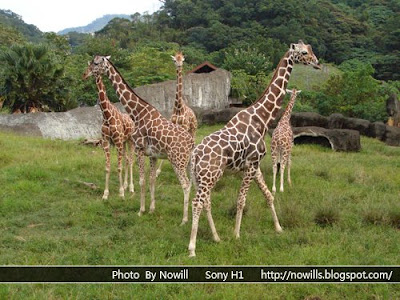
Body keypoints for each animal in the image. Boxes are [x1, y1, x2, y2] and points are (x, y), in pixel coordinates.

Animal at [83, 63, 136, 199]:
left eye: (94, 67)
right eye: (88, 66)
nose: (84, 75)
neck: (106, 115)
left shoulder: (117, 142)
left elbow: (119, 167)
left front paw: (121, 193)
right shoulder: (106, 142)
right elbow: (107, 168)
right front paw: (105, 194)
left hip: (130, 141)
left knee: (131, 160)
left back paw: (131, 188)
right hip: (123, 142)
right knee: (127, 159)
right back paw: (126, 185)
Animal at [188, 39, 322, 255]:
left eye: (310, 49)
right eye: (303, 52)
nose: (317, 62)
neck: (262, 119)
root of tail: (194, 157)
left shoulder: (255, 166)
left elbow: (269, 195)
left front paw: (279, 227)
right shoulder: (251, 165)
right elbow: (241, 200)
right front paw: (236, 234)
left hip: (202, 177)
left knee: (206, 202)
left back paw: (216, 237)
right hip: (209, 176)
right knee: (197, 203)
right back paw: (192, 248)